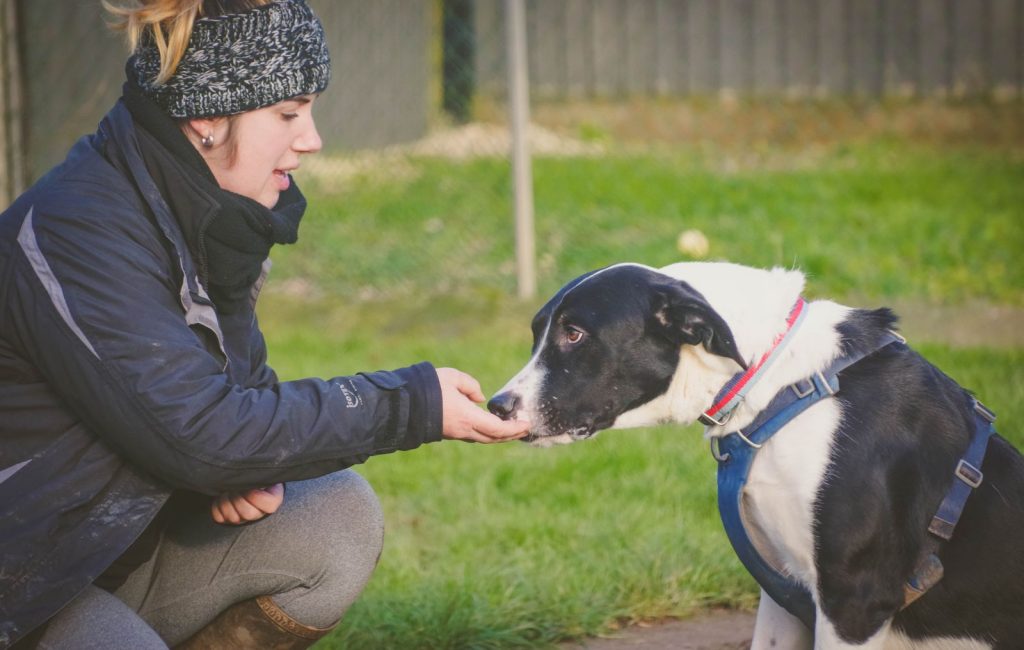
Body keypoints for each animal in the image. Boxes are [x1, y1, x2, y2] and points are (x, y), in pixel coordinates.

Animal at [487, 264, 1024, 650]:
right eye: (537, 333)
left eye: (575, 334)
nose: (497, 405)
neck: (778, 379)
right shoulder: (784, 593)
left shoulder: (853, 601)